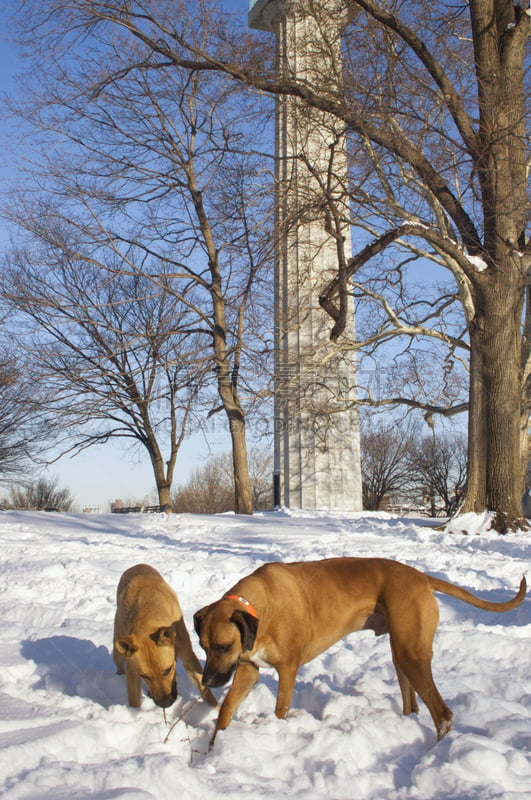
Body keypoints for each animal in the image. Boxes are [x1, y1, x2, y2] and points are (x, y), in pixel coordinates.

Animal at [114, 564, 218, 708]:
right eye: (145, 676)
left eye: (167, 670)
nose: (165, 703)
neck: (148, 615)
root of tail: (137, 565)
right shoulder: (132, 670)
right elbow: (134, 701)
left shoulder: (188, 655)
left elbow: (205, 690)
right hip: (118, 647)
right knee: (119, 664)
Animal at [193, 556, 524, 744]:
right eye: (204, 647)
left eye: (222, 646)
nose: (206, 681)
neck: (260, 606)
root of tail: (420, 576)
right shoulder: (247, 668)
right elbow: (226, 709)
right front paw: (213, 748)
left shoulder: (287, 668)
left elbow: (279, 709)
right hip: (400, 652)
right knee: (413, 703)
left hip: (411, 654)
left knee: (442, 713)